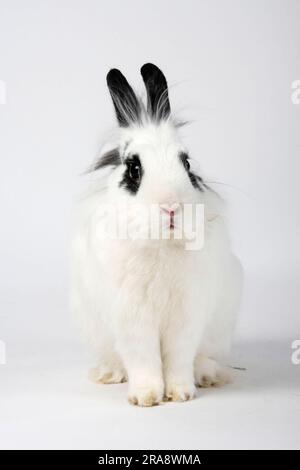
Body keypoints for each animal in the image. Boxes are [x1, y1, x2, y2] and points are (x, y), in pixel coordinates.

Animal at [71, 62, 243, 406]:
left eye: (186, 164)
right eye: (134, 169)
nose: (171, 207)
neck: (160, 244)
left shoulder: (187, 315)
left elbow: (179, 356)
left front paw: (181, 393)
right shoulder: (132, 317)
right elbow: (143, 358)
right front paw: (146, 396)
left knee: (204, 356)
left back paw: (207, 376)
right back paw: (109, 373)